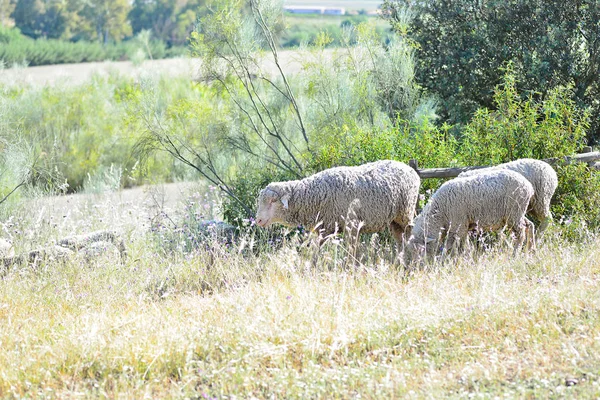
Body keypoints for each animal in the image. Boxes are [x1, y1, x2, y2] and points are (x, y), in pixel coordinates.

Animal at [255, 159, 420, 244]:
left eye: (273, 201)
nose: (258, 220)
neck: (315, 195)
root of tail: (411, 170)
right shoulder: (325, 229)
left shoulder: (351, 224)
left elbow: (351, 252)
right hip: (394, 219)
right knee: (400, 238)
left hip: (406, 212)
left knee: (410, 233)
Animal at [404, 170, 536, 266]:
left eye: (421, 250)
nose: (416, 267)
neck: (440, 212)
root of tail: (529, 186)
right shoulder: (464, 226)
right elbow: (465, 245)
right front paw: (467, 257)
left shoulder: (458, 226)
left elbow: (450, 246)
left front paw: (444, 260)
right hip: (518, 213)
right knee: (529, 225)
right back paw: (530, 250)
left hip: (514, 212)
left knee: (521, 233)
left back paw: (515, 254)